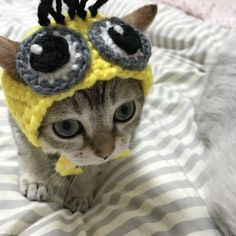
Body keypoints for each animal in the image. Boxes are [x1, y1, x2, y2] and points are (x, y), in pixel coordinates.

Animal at [0, 4, 157, 213]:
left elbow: (91, 165)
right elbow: (28, 149)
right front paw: (36, 180)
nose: (107, 151)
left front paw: (80, 191)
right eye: (66, 127)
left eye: (125, 111)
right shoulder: (19, 119)